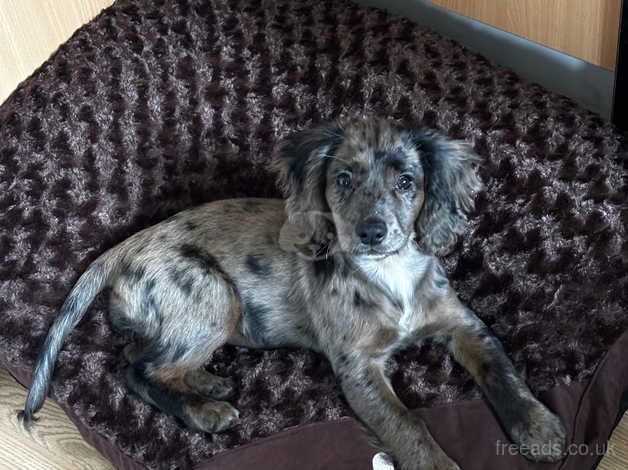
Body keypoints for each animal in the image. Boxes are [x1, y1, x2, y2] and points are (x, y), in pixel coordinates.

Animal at [22, 118, 568, 470]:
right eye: (342, 180)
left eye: (407, 182)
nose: (372, 232)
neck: (388, 274)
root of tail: (127, 245)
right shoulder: (357, 367)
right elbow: (406, 424)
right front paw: (436, 465)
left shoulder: (461, 323)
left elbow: (502, 371)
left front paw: (540, 429)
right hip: (214, 297)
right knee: (137, 369)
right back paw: (205, 411)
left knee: (145, 354)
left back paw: (207, 384)